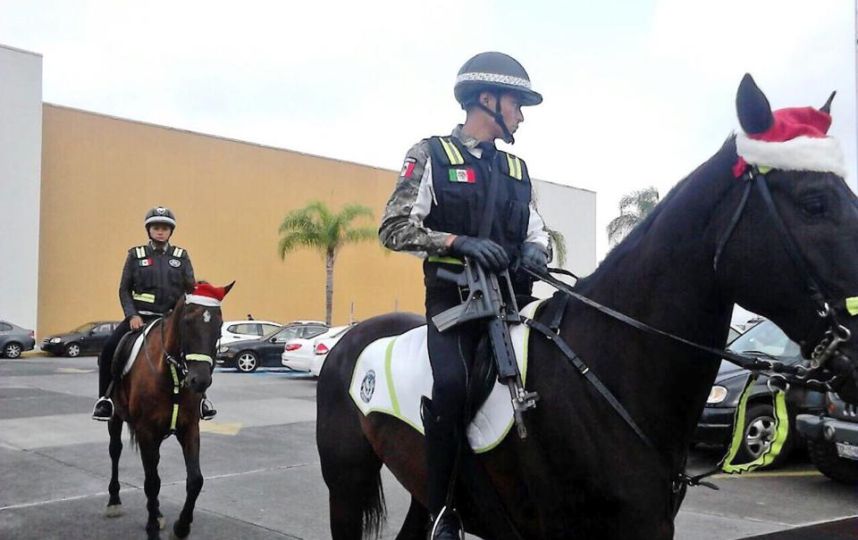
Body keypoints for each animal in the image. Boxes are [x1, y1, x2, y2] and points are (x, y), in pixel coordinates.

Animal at [102, 282, 232, 540]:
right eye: (187, 321)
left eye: (219, 324)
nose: (200, 380)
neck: (171, 373)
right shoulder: (145, 431)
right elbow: (152, 482)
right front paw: (152, 529)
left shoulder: (189, 427)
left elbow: (195, 480)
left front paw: (181, 527)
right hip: (116, 416)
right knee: (115, 451)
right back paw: (114, 500)